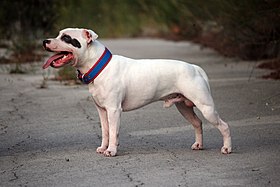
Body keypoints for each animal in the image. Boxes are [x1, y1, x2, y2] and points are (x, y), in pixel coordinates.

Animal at [42, 28, 232, 156]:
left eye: (67, 38)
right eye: (59, 35)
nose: (45, 41)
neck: (99, 66)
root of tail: (194, 67)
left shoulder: (113, 110)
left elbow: (113, 132)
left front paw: (111, 150)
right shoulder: (102, 111)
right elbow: (106, 131)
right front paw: (104, 147)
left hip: (206, 108)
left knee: (223, 126)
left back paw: (227, 148)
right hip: (184, 107)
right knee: (197, 123)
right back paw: (199, 145)